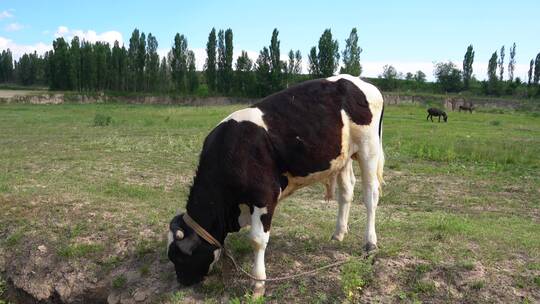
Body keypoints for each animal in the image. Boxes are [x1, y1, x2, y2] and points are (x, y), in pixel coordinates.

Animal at [168, 74, 384, 296]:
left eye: (179, 256)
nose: (182, 282)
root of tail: (357, 80)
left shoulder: (264, 196)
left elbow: (257, 240)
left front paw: (258, 285)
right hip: (344, 156)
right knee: (347, 191)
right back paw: (338, 234)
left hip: (369, 148)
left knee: (370, 195)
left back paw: (370, 244)